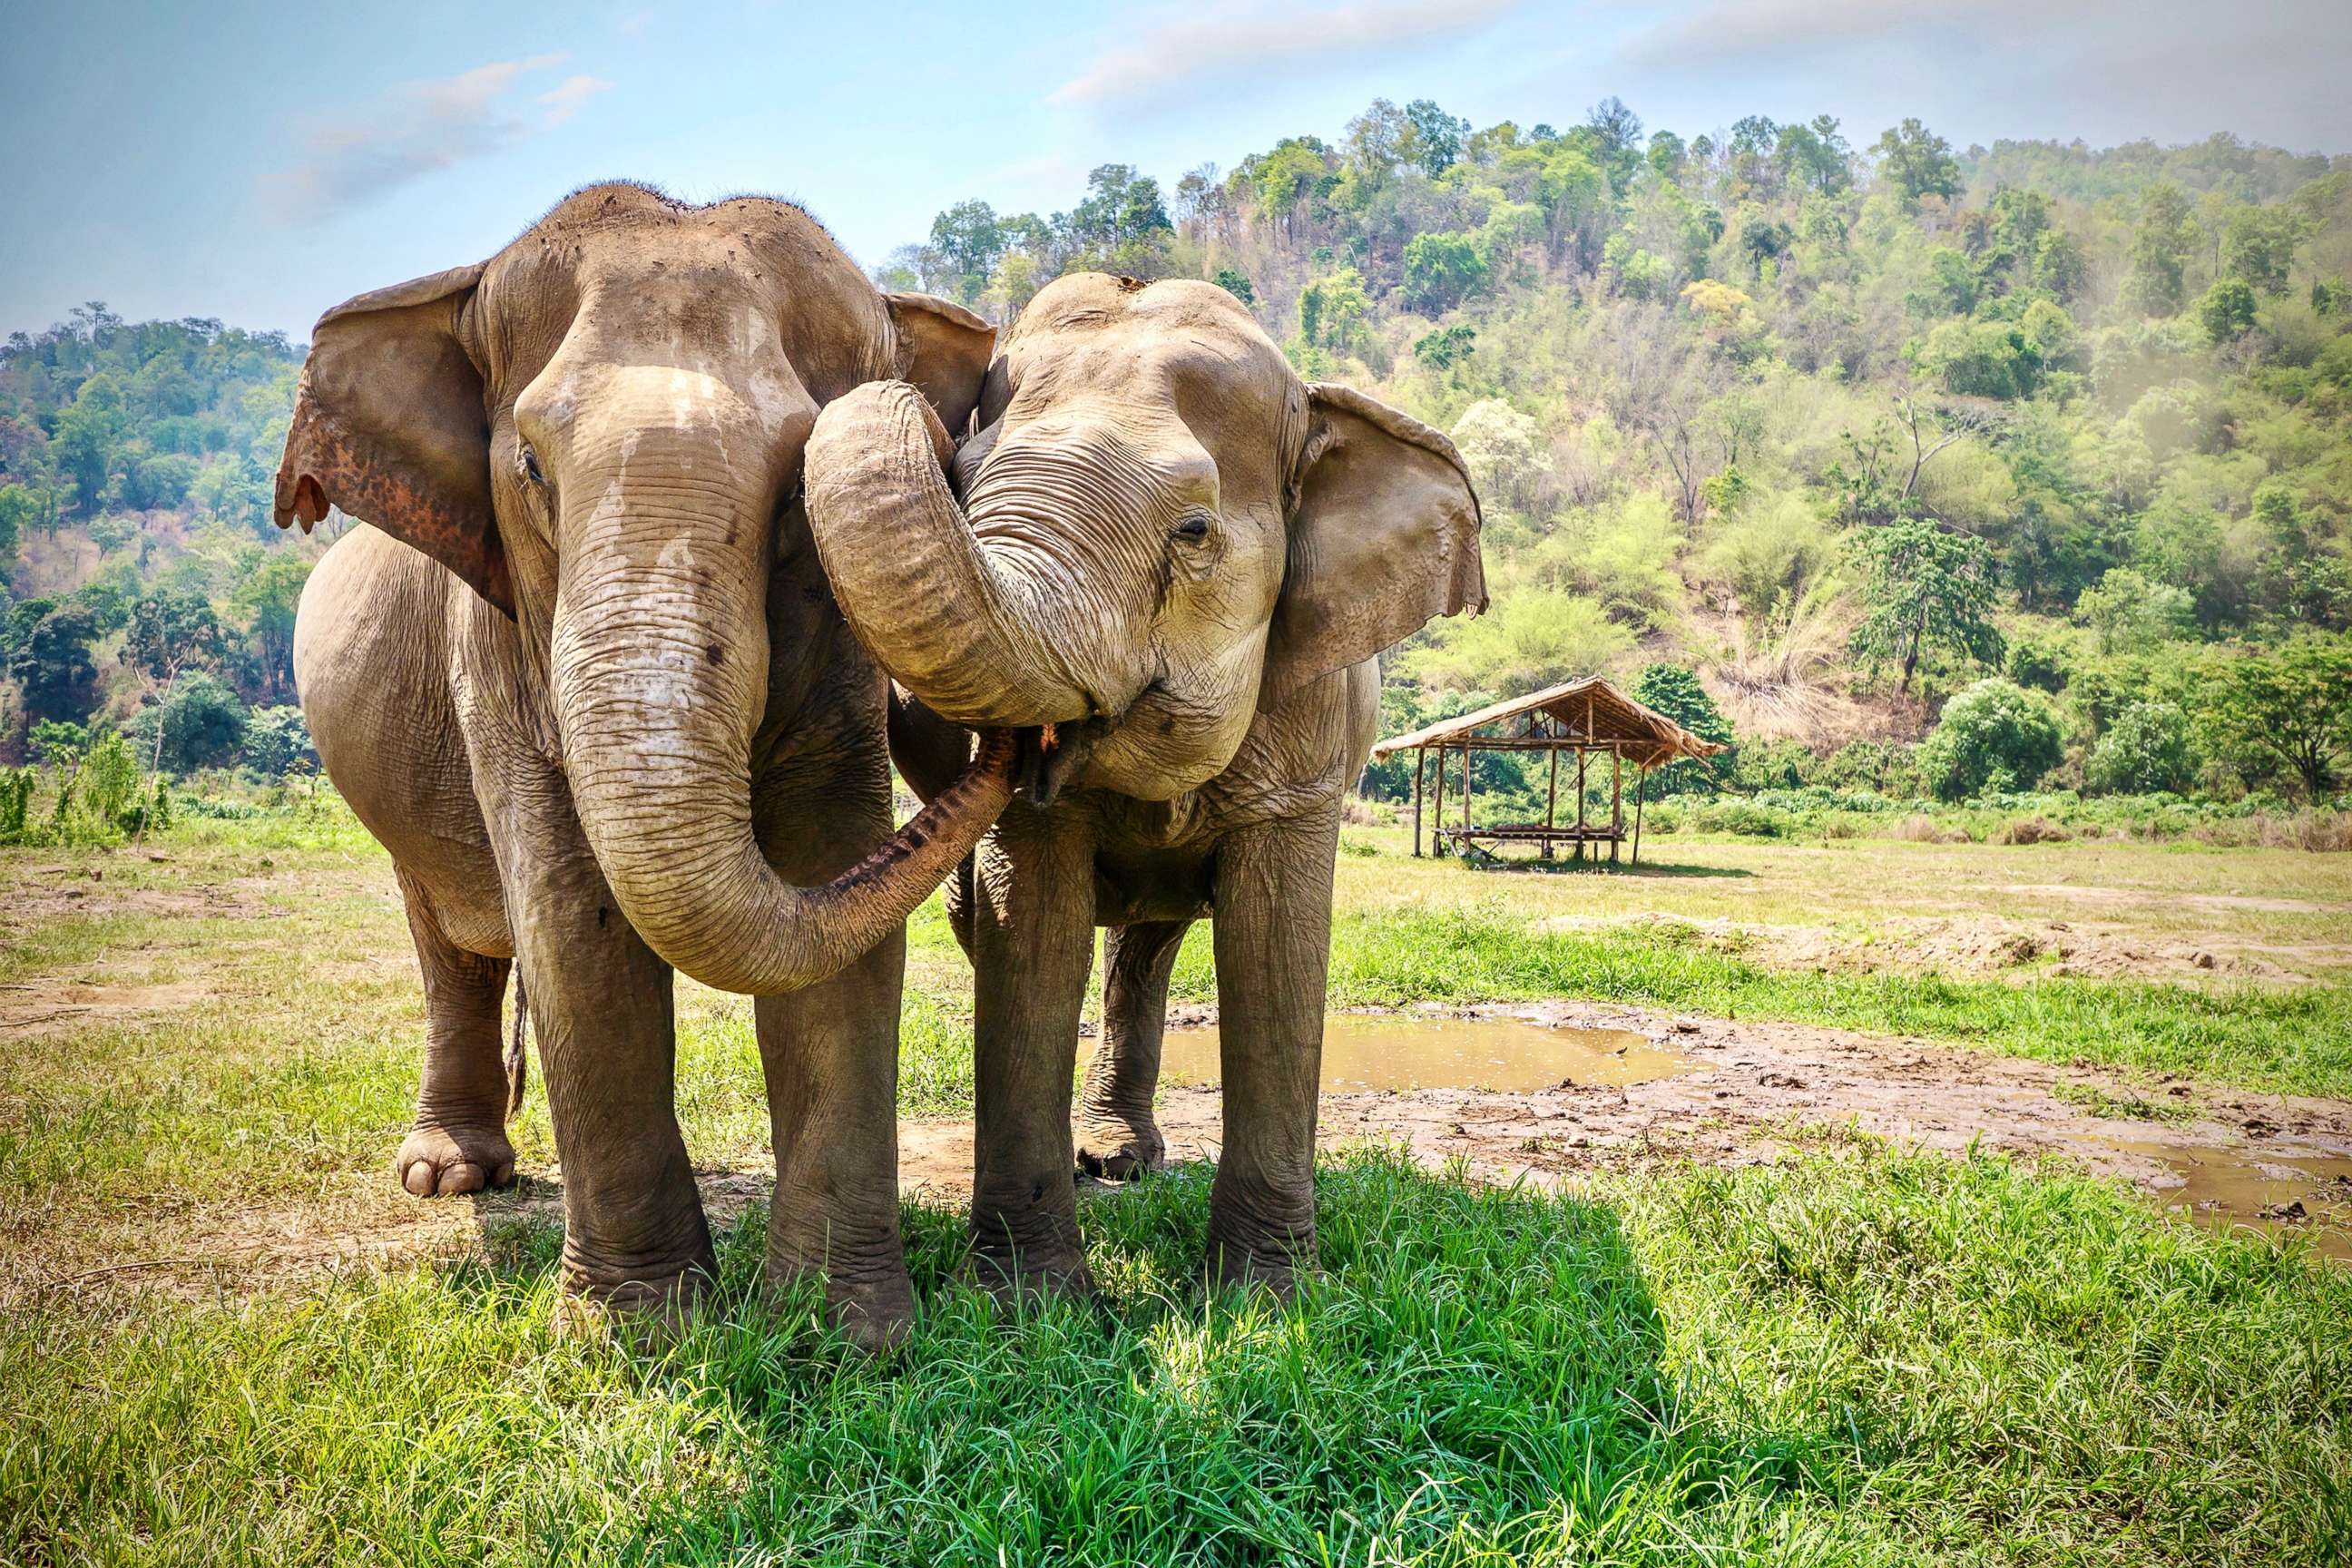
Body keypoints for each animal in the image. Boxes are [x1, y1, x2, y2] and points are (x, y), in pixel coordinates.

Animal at [275, 181, 1011, 1335]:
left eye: (797, 489)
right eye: (531, 467)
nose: (1023, 742)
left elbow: (829, 888)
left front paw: (841, 1334)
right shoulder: (496, 643)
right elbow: (574, 927)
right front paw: (640, 1332)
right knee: (450, 940)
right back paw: (449, 1177)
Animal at [799, 272, 1476, 1298]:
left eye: (1193, 530)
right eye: (962, 482)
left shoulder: (1311, 736)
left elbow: (1276, 951)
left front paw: (1268, 1296)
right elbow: (1032, 938)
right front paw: (1030, 1304)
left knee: (1148, 949)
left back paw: (1123, 1158)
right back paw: (1107, 1161)